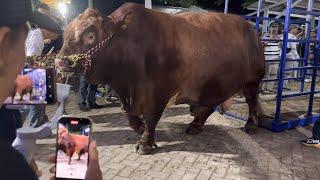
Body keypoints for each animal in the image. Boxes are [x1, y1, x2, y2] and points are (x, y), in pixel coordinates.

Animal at [57, 2, 264, 155]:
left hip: (252, 81)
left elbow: (151, 117)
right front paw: (139, 128)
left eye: (91, 35)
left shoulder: (158, 92)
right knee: (209, 106)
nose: (60, 62)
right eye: (66, 32)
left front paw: (145, 144)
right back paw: (195, 125)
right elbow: (129, 115)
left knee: (252, 102)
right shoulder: (127, 92)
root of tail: (252, 29)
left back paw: (251, 125)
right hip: (213, 84)